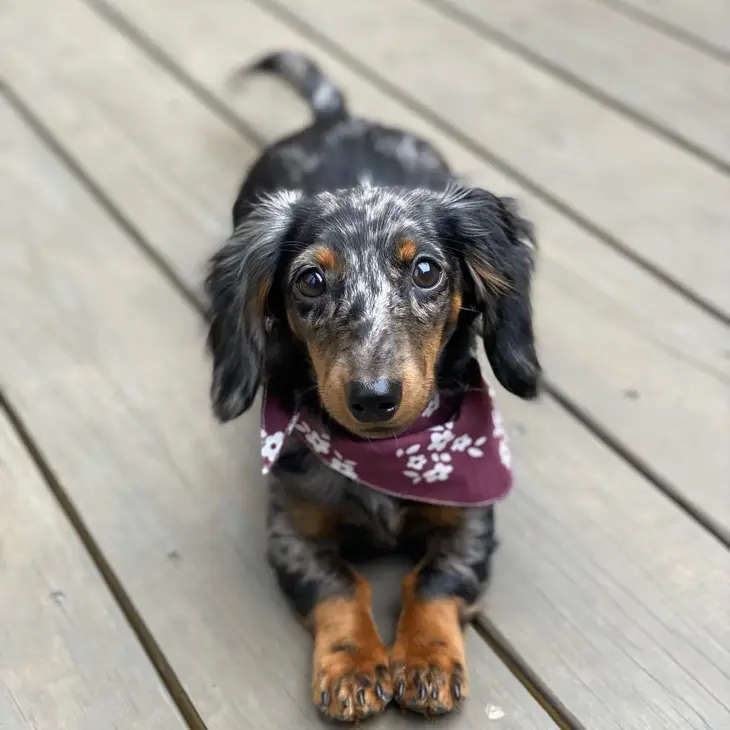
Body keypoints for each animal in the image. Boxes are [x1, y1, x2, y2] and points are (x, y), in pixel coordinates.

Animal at [202, 52, 536, 724]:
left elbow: (430, 582)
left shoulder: (472, 523)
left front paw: (426, 660)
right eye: (309, 280)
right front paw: (353, 666)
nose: (374, 398)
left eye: (427, 270)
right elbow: (340, 587)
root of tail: (340, 119)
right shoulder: (292, 533)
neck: (387, 456)